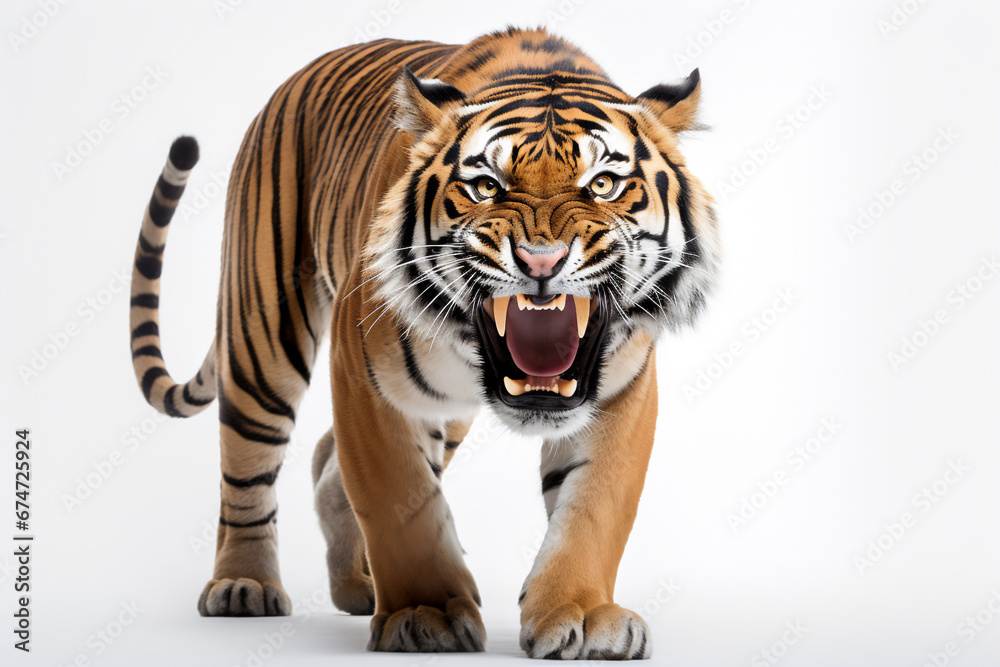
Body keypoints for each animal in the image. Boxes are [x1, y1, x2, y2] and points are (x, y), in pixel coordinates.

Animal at [128, 27, 719, 659]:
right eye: (485, 187)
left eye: (603, 184)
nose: (542, 261)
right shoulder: (363, 375)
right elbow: (399, 499)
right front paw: (423, 614)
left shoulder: (619, 393)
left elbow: (594, 508)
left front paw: (583, 615)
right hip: (262, 335)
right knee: (248, 466)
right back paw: (244, 585)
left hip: (447, 410)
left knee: (325, 460)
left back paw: (356, 587)